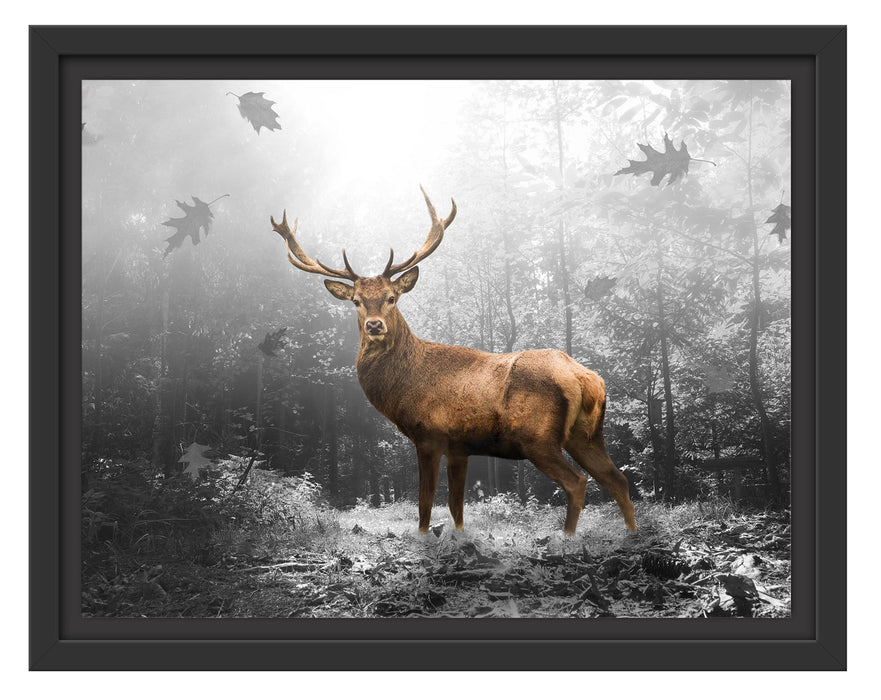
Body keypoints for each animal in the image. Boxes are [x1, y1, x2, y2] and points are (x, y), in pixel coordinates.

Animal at [269, 188, 637, 535]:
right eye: (357, 301)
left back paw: (568, 537)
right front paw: (459, 537)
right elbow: (456, 506)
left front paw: (423, 538)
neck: (404, 387)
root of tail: (585, 377)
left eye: (392, 297)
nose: (375, 325)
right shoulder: (460, 446)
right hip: (587, 435)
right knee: (618, 479)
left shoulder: (429, 434)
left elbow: (425, 503)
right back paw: (632, 533)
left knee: (578, 482)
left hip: (538, 437)